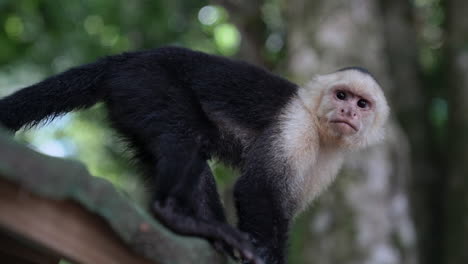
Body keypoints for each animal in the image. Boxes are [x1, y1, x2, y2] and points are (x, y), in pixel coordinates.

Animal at [0, 47, 388, 264]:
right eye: (341, 96)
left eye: (362, 104)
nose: (348, 112)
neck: (321, 129)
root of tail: (129, 59)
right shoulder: (297, 127)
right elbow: (256, 189)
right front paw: (267, 257)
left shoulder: (330, 159)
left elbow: (283, 206)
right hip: (146, 82)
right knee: (189, 136)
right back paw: (173, 214)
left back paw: (210, 234)